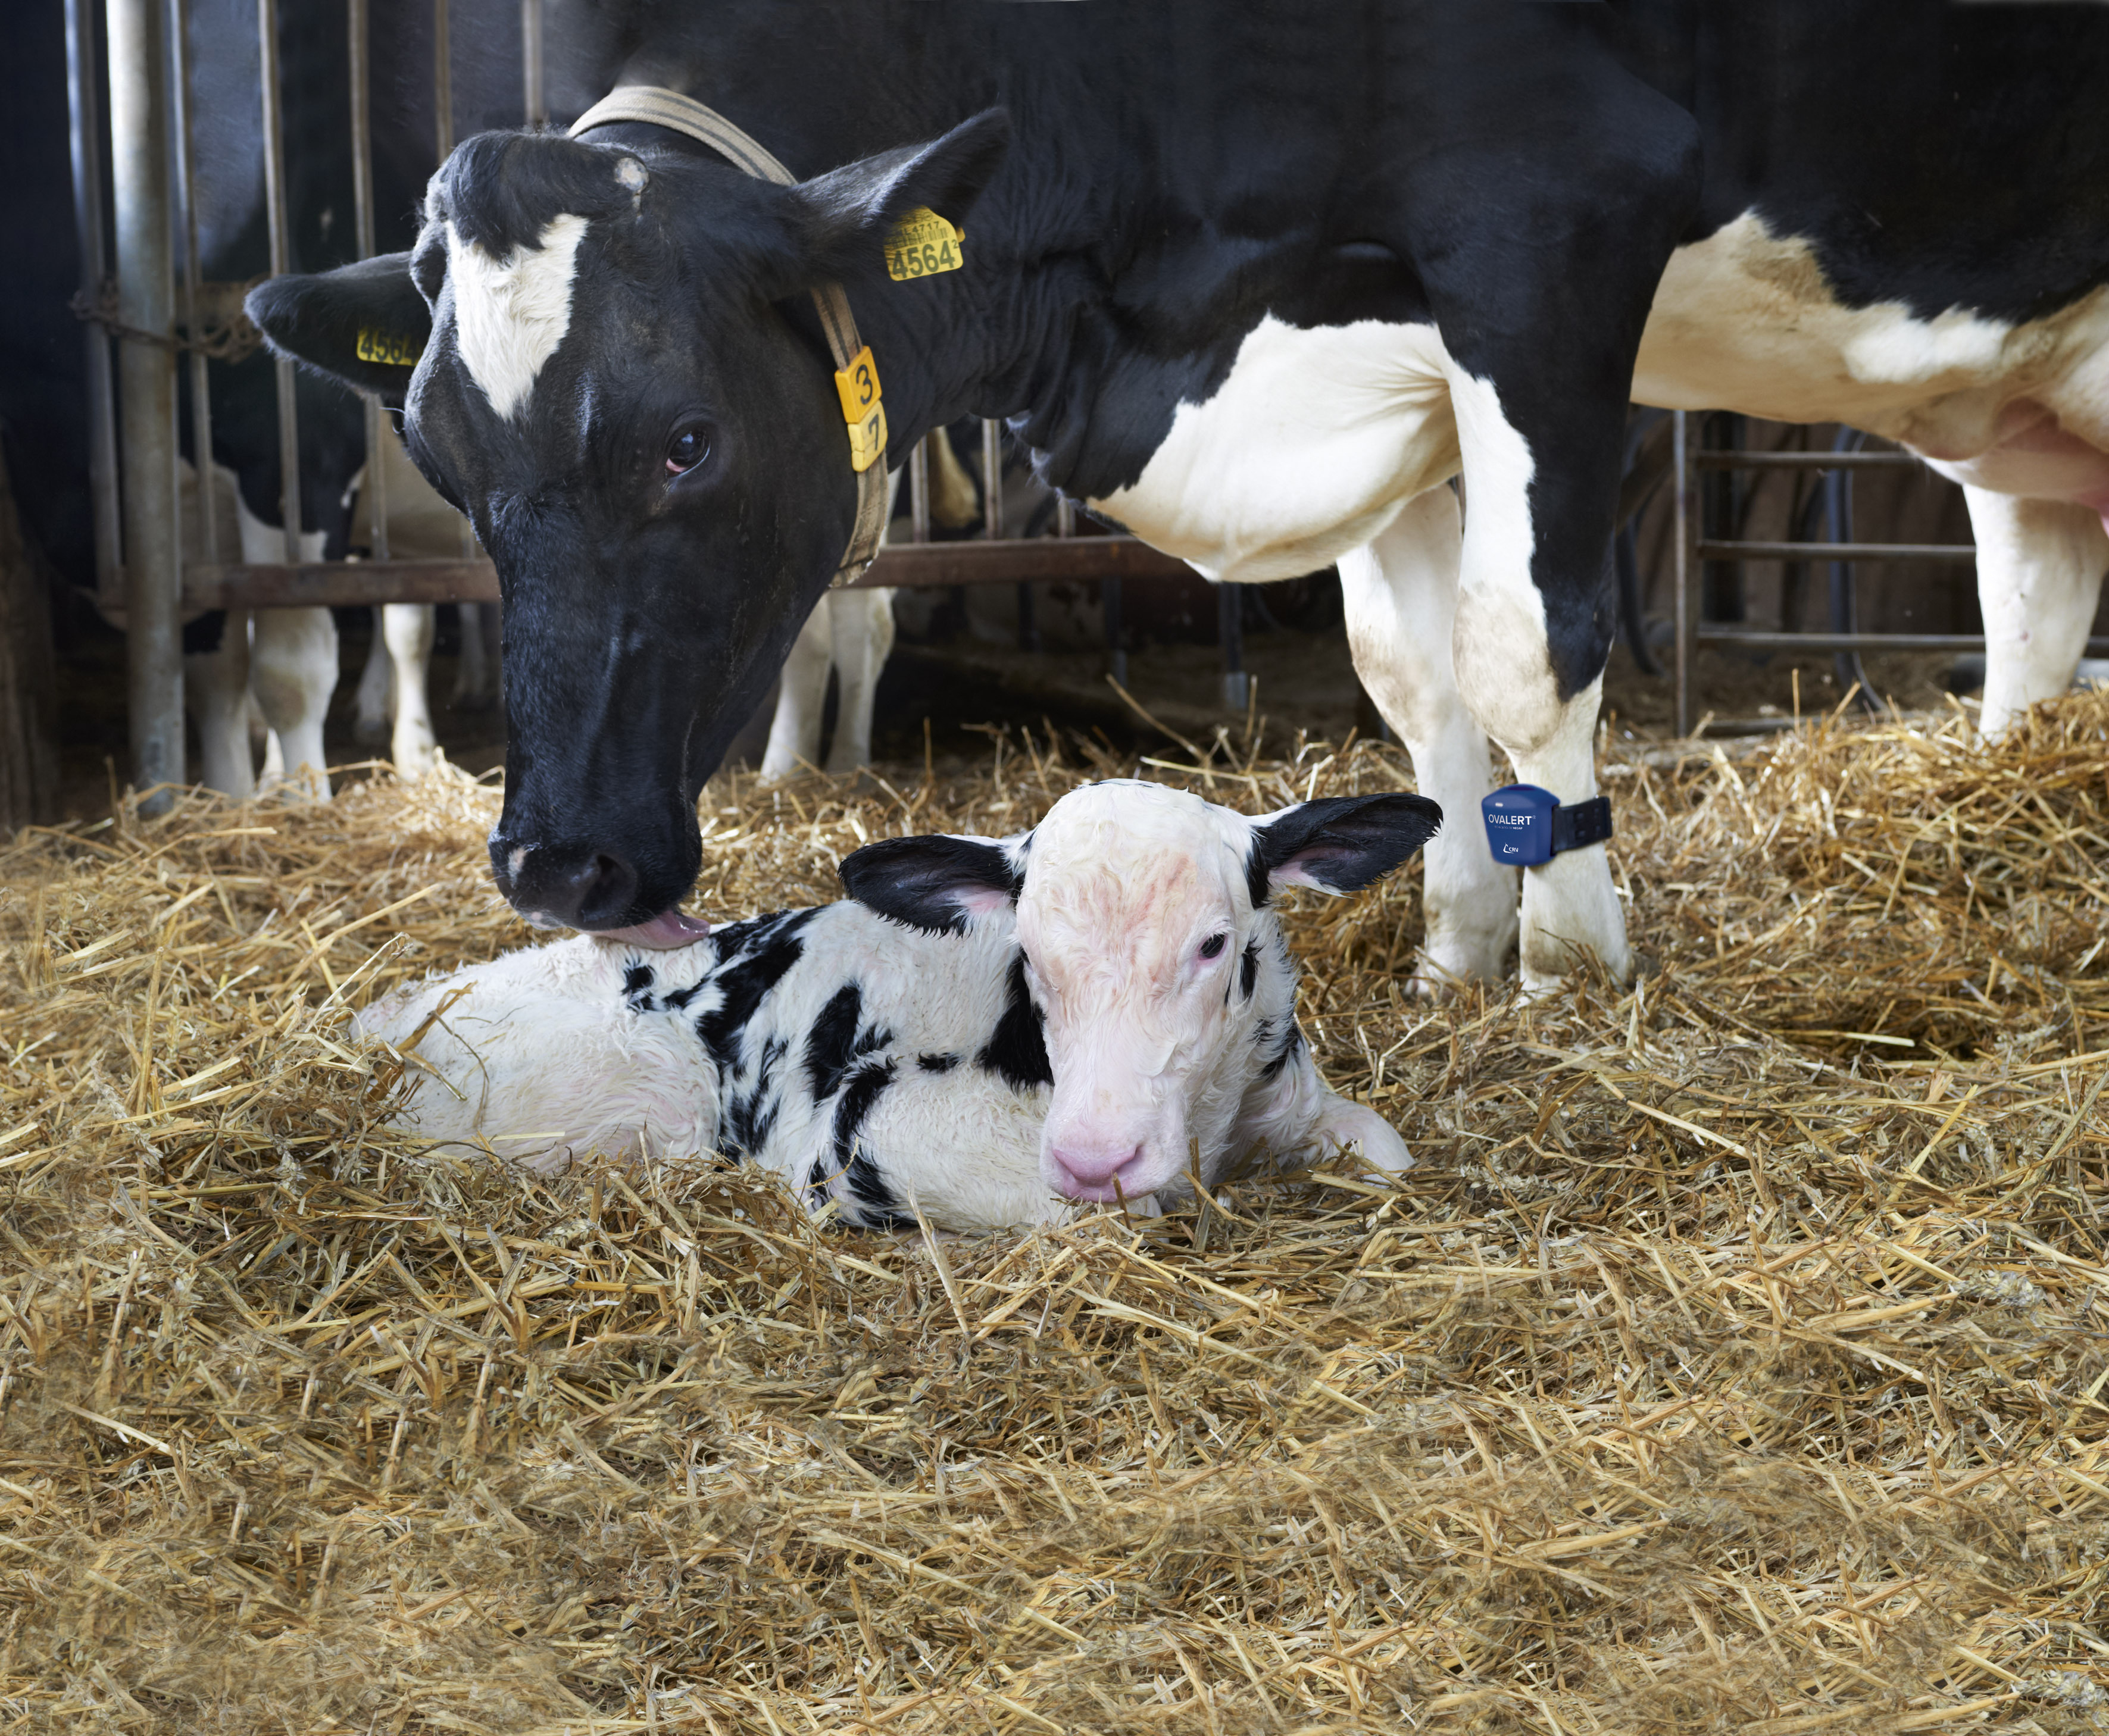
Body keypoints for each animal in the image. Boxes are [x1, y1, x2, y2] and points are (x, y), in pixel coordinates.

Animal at [251, 10, 2109, 991]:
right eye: (444, 457)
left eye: (688, 440)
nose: (555, 860)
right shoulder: (1384, 345)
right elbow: (1415, 679)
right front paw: (1450, 956)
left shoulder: (1552, 224)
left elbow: (1526, 644)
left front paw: (1571, 966)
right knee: (2032, 606)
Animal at [367, 780, 1451, 1231]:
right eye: (1031, 954)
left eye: (1213, 943)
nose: (1093, 1156)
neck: (1211, 1130)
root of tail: (388, 1017)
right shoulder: (864, 1130)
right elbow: (1108, 1218)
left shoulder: (1288, 1097)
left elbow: (1390, 1156)